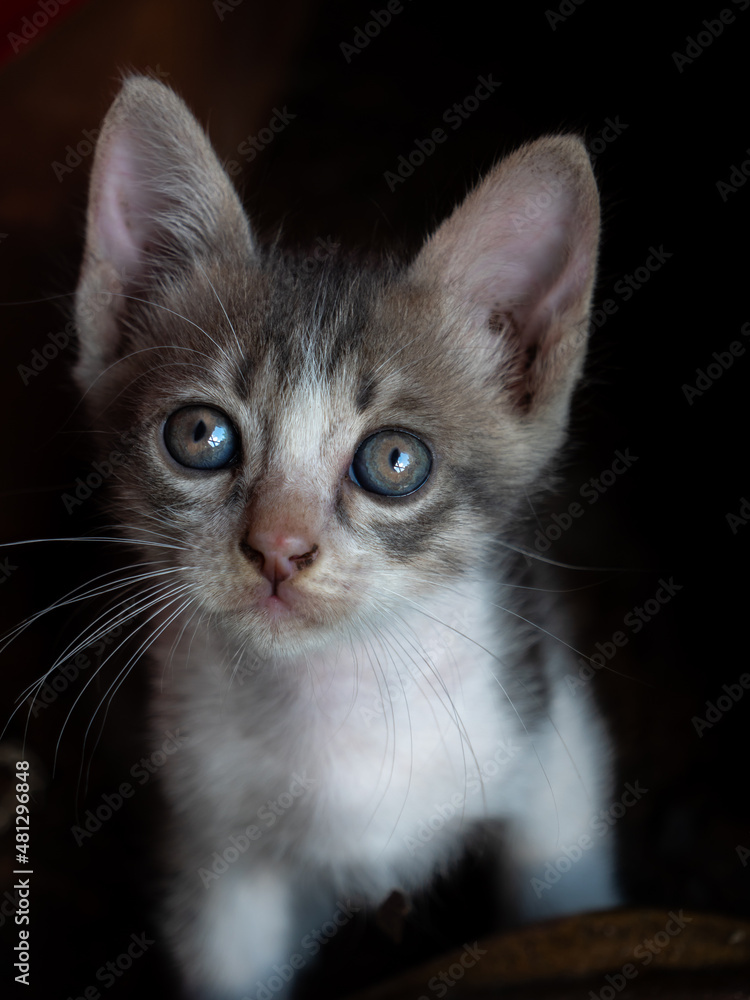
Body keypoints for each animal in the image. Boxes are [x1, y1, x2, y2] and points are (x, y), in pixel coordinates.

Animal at [72, 74, 624, 996]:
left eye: (394, 460)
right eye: (199, 436)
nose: (279, 549)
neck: (339, 698)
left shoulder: (549, 737)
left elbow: (567, 899)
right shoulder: (213, 849)